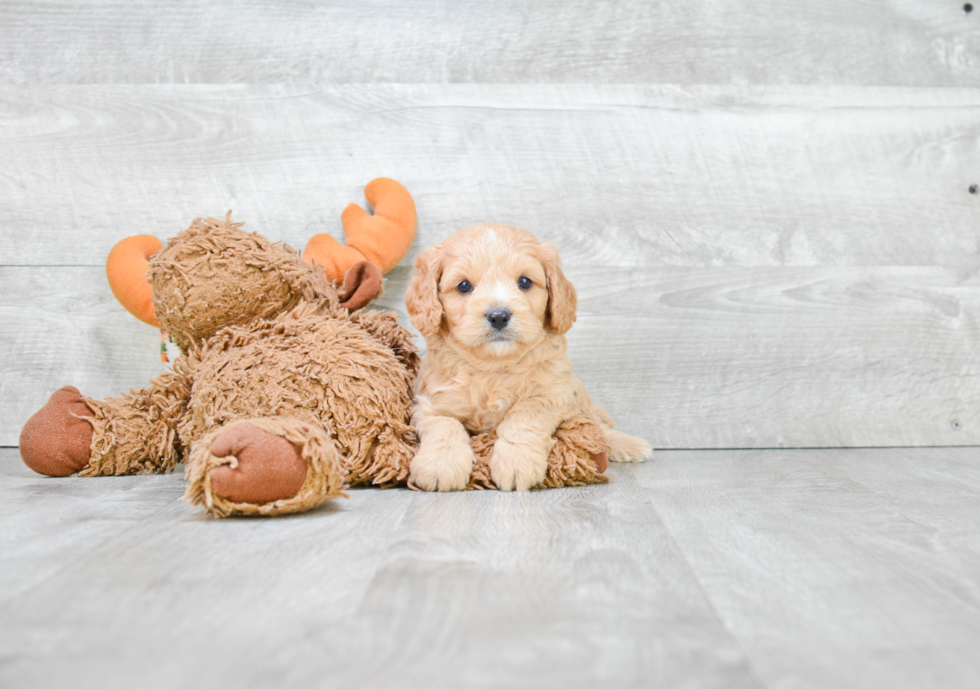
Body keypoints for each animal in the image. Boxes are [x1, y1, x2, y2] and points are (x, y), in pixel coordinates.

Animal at [406, 223, 652, 492]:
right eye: (463, 286)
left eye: (524, 281)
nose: (499, 316)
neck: (493, 367)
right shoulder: (429, 403)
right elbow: (444, 424)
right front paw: (441, 465)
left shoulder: (556, 393)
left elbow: (525, 413)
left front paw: (516, 463)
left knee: (598, 424)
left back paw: (630, 445)